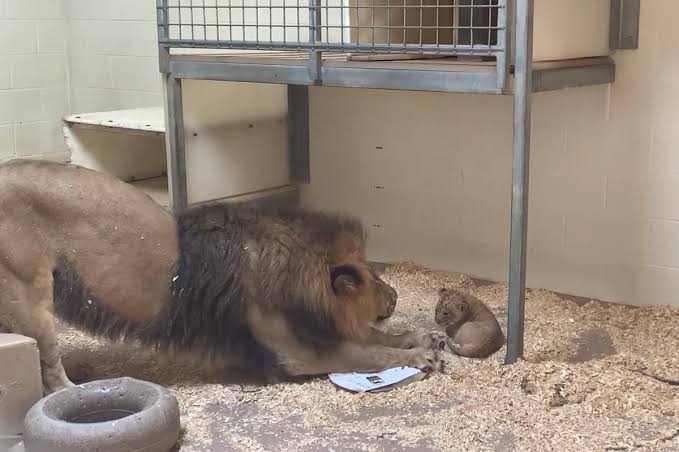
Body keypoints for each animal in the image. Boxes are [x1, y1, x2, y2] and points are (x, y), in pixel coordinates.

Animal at [0, 159, 444, 394]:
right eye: (373, 281)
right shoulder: (297, 352)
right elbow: (368, 352)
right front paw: (418, 356)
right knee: (50, 369)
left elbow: (377, 337)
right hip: (31, 297)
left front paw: (420, 338)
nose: (396, 296)